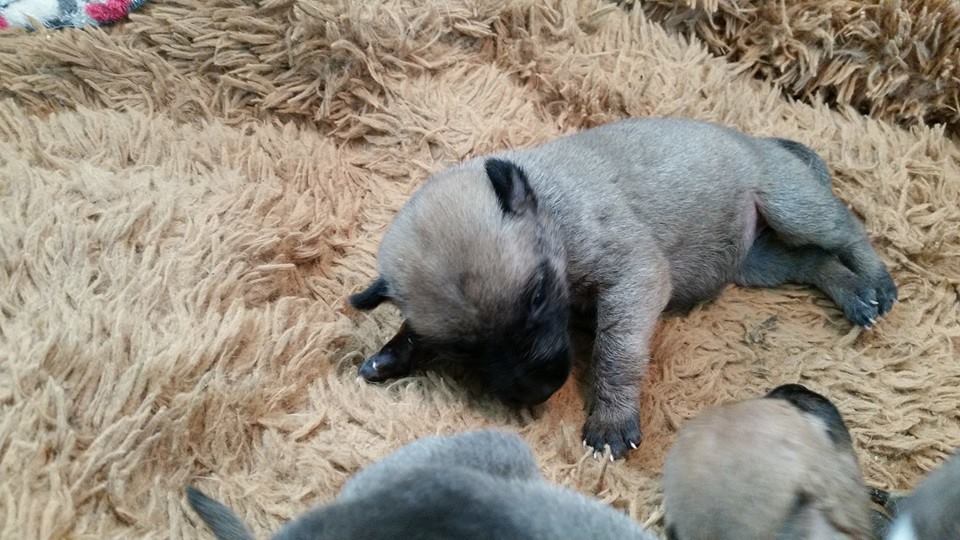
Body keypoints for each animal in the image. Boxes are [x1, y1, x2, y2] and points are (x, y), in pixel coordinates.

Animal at [349, 117, 898, 458]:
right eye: (462, 350)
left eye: (538, 297)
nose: (538, 392)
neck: (551, 208)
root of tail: (760, 141)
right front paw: (393, 354)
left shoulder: (633, 279)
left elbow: (615, 351)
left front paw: (612, 419)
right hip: (762, 262)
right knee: (814, 262)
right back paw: (853, 294)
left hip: (791, 207)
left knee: (845, 233)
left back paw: (873, 281)